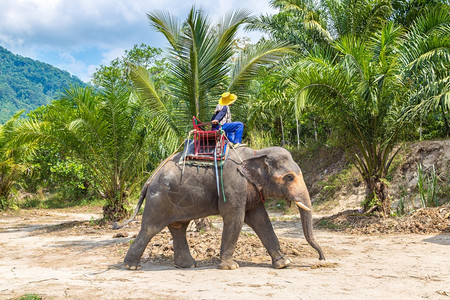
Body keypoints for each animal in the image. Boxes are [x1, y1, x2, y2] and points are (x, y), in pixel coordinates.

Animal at [121, 145, 326, 270]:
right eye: (289, 177)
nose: (321, 259)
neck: (257, 153)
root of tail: (149, 180)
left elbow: (261, 220)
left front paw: (284, 263)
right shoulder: (233, 182)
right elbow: (235, 218)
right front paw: (230, 267)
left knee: (179, 227)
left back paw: (188, 265)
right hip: (159, 199)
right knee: (150, 228)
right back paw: (132, 267)